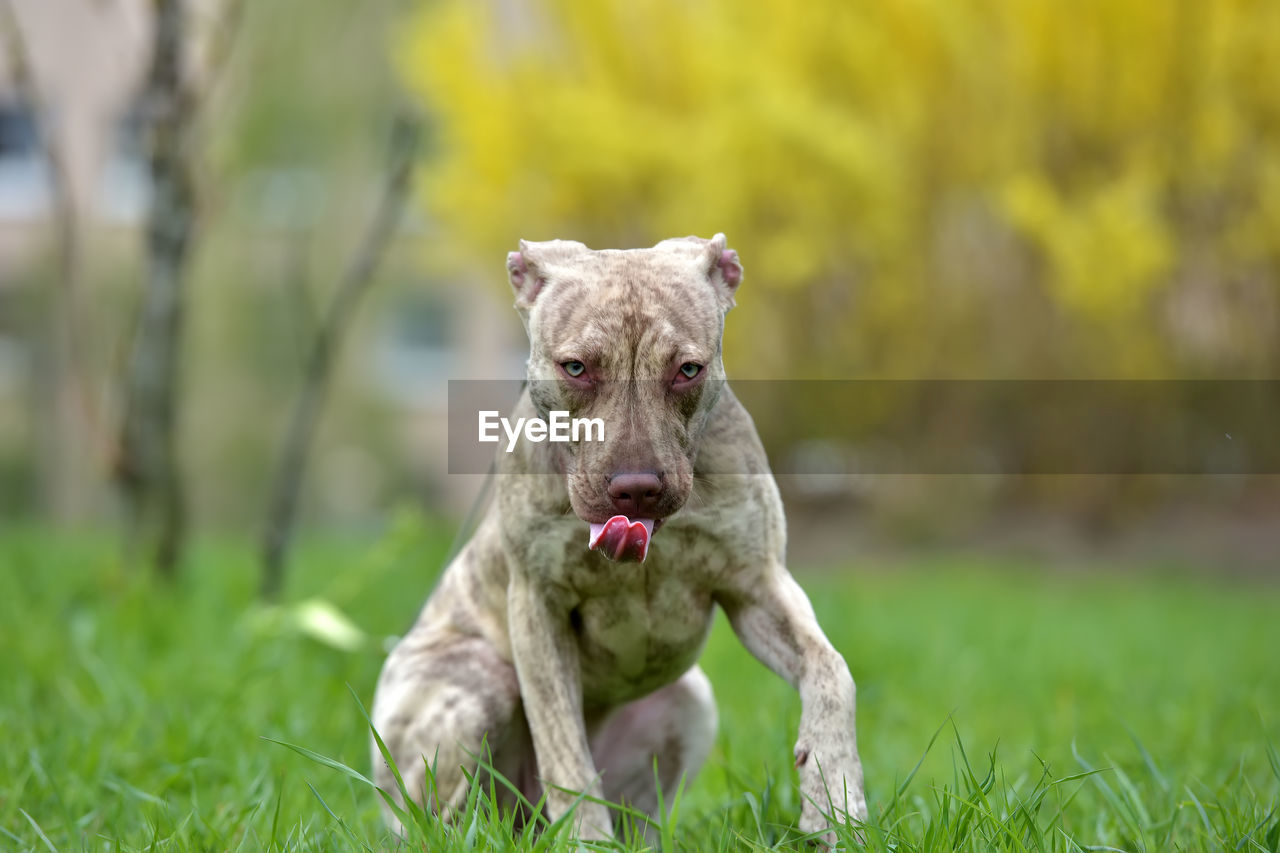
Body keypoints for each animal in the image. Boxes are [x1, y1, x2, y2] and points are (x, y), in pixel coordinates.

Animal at [371, 230, 870, 835]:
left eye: (687, 370)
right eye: (576, 367)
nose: (636, 490)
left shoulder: (759, 586)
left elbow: (832, 670)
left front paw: (834, 798)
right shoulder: (538, 608)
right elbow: (565, 751)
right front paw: (586, 839)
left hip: (689, 703)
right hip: (472, 686)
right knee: (445, 815)